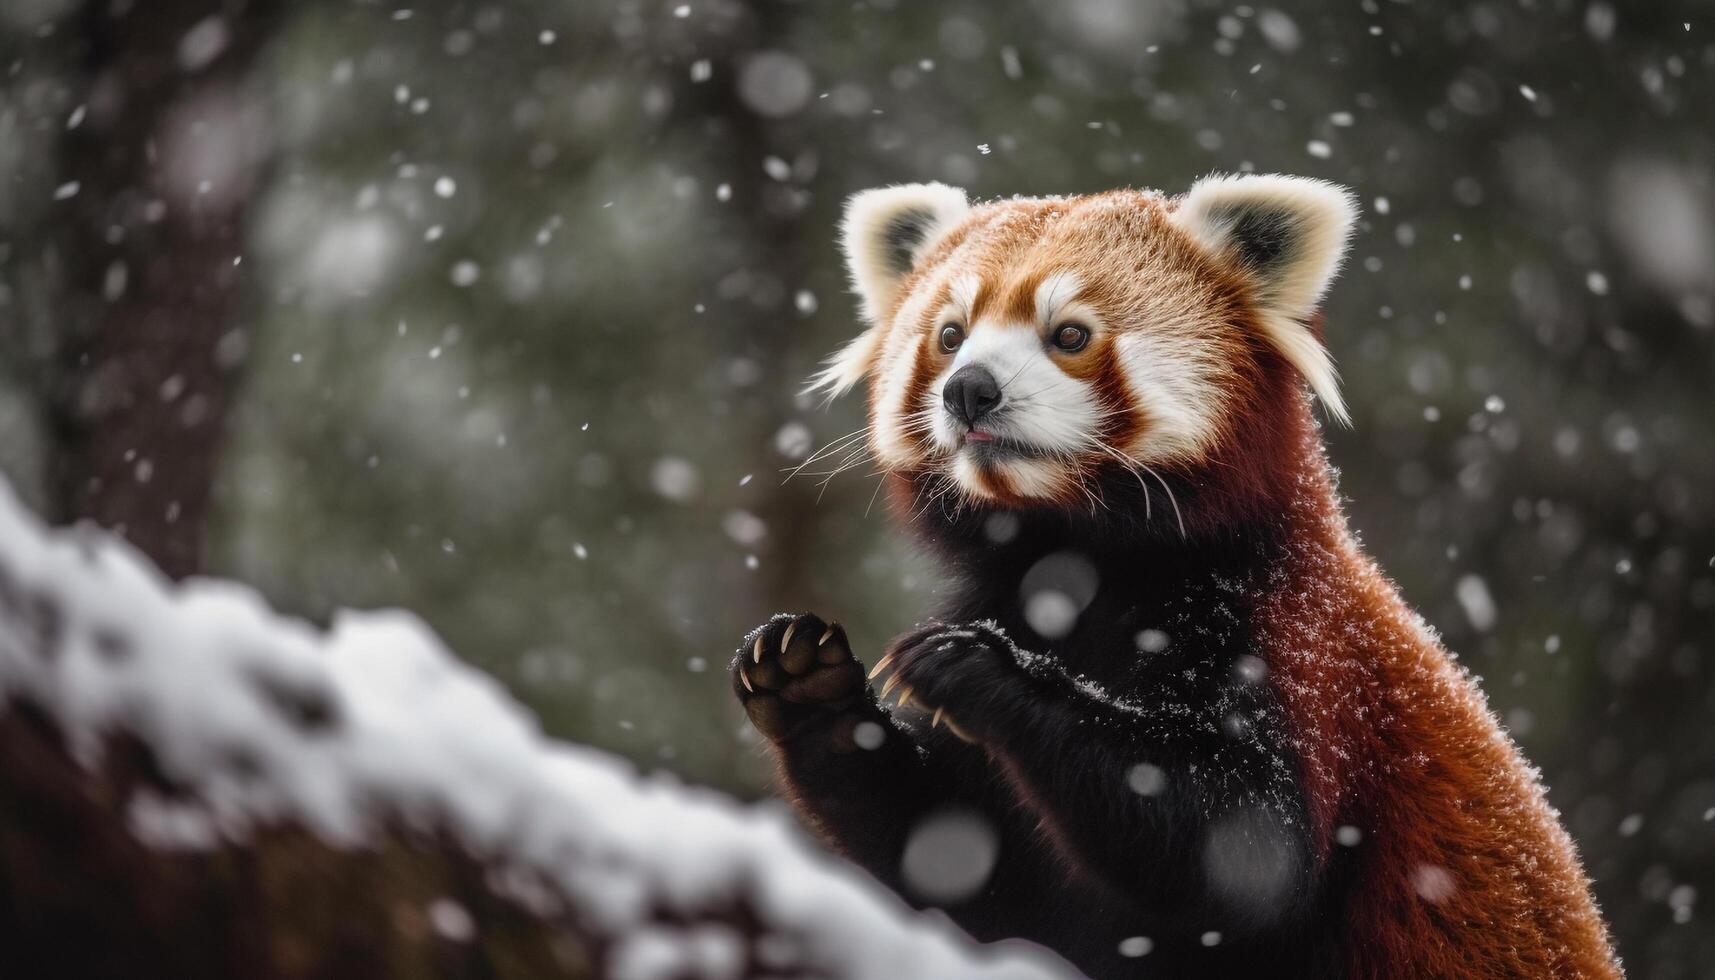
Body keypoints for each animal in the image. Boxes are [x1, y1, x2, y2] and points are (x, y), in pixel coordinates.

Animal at [727, 176, 1618, 980]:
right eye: (948, 335)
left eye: (1069, 334)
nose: (968, 389)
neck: (1081, 574)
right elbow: (961, 863)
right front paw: (806, 681)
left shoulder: (1294, 648)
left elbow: (1239, 852)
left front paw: (982, 668)